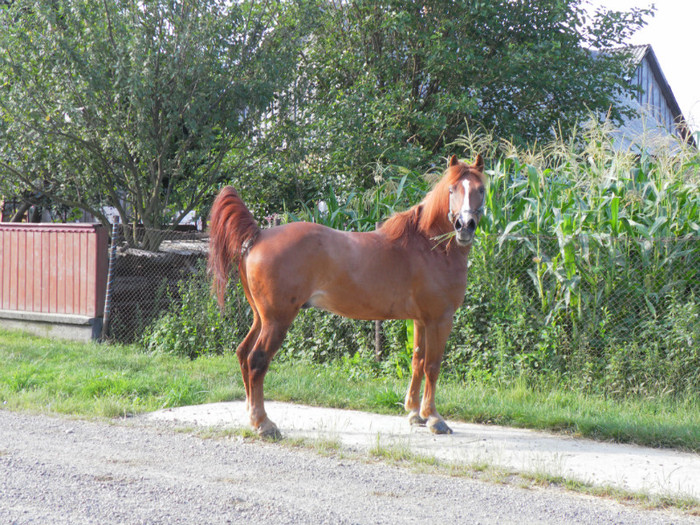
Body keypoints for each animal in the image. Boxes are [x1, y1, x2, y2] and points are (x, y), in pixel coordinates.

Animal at [208, 154, 486, 436]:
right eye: (452, 190)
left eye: (481, 190)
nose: (465, 226)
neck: (429, 246)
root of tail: (258, 236)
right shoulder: (440, 319)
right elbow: (433, 365)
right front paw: (434, 418)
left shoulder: (420, 320)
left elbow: (417, 361)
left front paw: (415, 413)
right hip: (277, 321)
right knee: (257, 360)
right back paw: (263, 423)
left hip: (260, 318)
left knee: (243, 353)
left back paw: (251, 414)